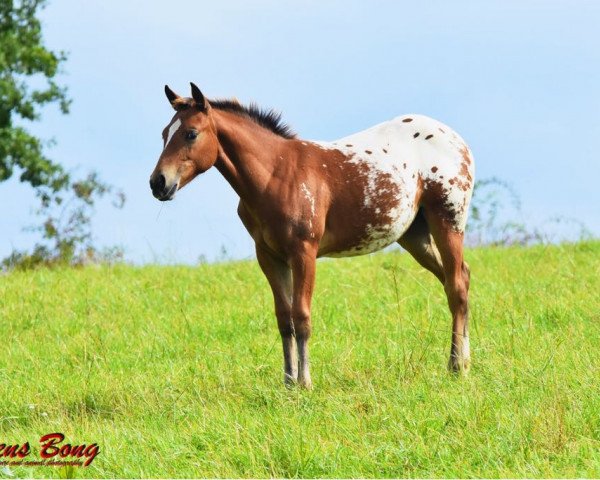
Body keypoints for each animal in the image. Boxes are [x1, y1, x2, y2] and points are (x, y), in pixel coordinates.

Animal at [149, 83, 474, 390]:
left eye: (191, 134)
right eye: (165, 133)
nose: (158, 183)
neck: (276, 174)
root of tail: (456, 140)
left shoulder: (303, 251)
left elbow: (302, 317)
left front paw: (305, 381)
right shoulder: (269, 255)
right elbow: (284, 319)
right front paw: (288, 382)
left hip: (448, 222)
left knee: (456, 287)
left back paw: (456, 367)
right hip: (415, 236)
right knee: (459, 277)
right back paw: (466, 360)